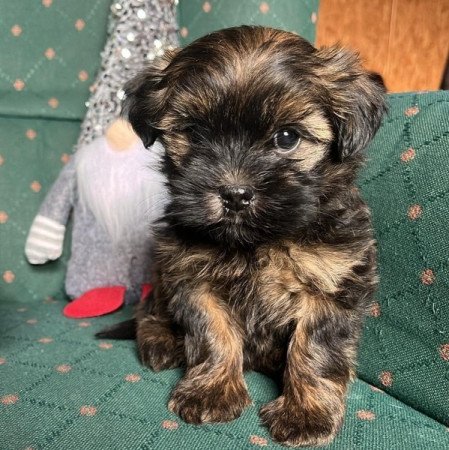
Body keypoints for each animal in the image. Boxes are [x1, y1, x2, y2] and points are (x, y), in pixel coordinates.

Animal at [98, 26, 384, 444]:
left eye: (287, 137)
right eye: (195, 133)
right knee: (148, 312)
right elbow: (213, 334)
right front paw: (212, 390)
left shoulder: (333, 279)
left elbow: (315, 347)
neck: (257, 241)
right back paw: (160, 342)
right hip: (161, 275)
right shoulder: (191, 276)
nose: (235, 194)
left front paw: (307, 413)